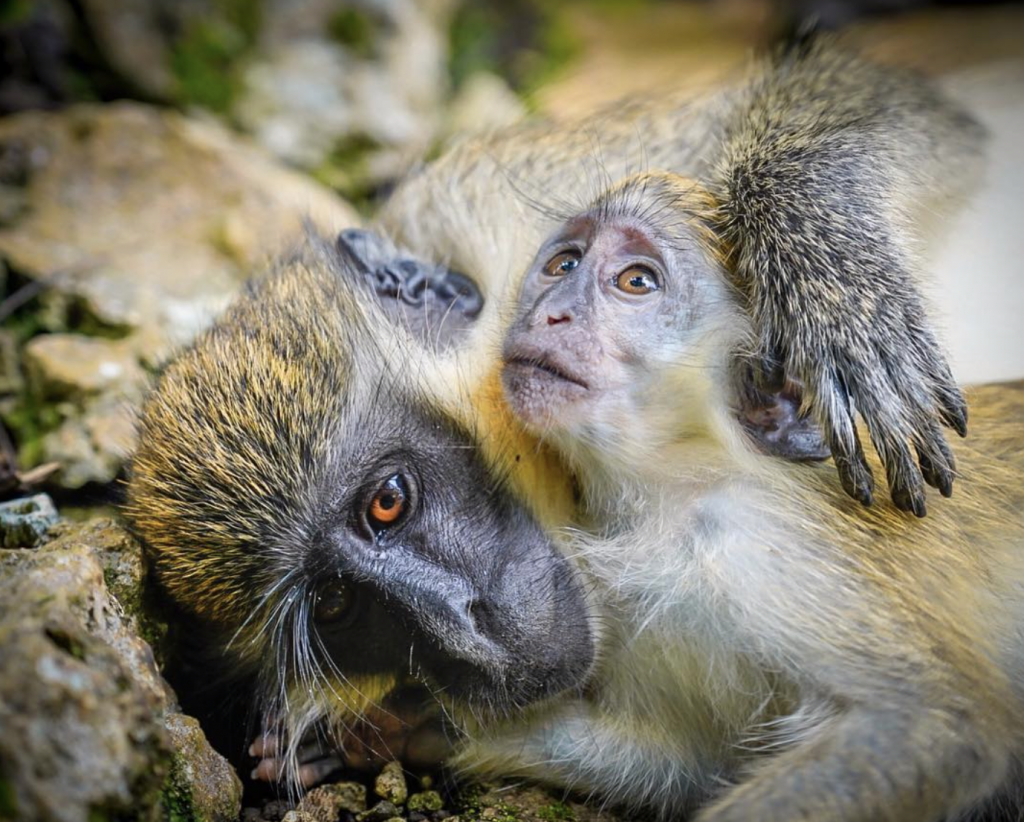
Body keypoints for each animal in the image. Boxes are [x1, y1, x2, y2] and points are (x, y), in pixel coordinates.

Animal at [487, 169, 1024, 818]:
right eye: (563, 264)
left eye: (635, 281)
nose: (553, 313)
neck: (677, 491)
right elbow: (683, 764)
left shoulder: (764, 544)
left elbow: (939, 726)